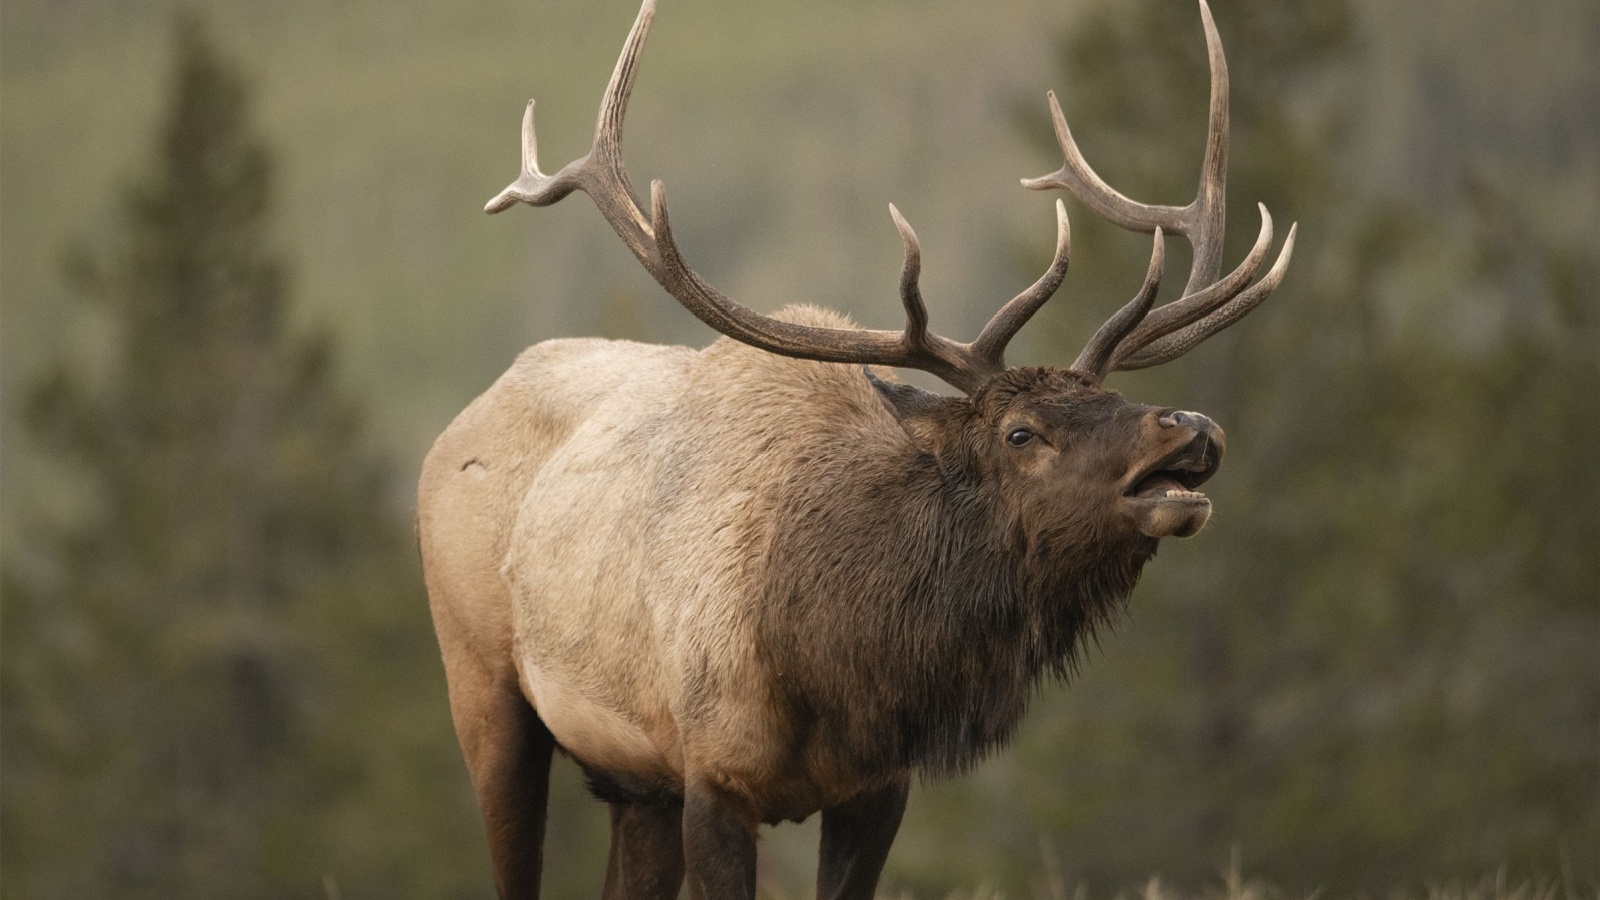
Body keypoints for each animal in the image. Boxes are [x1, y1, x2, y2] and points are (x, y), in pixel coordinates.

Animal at [419, 0, 1292, 890]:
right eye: (1021, 432)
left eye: (1113, 398)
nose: (1192, 427)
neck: (836, 662)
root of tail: (455, 428)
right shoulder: (712, 776)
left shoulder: (875, 788)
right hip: (484, 689)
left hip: (632, 783)